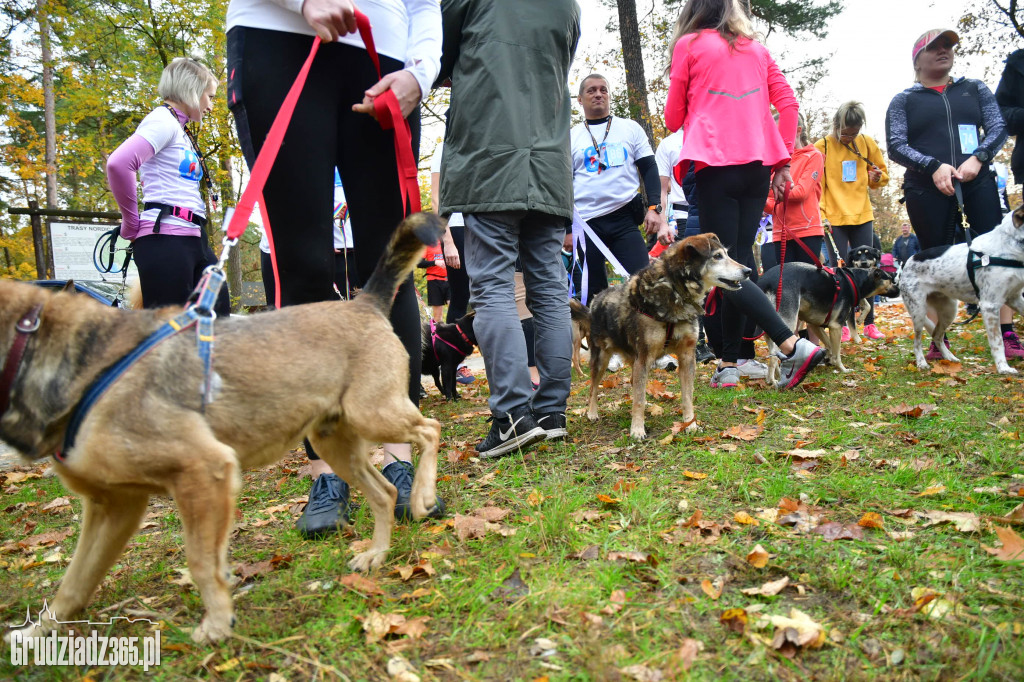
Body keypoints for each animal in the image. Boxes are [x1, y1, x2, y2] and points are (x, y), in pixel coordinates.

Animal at [2, 212, 446, 643]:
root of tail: (363, 303)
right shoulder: (112, 506)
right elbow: (75, 580)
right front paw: (39, 629)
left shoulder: (204, 472)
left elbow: (200, 561)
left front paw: (216, 623)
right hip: (332, 442)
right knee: (385, 493)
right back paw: (377, 553)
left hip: (373, 411)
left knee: (430, 429)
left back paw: (422, 494)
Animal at [589, 231, 749, 438]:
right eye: (717, 256)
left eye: (727, 254)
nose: (748, 271)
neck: (676, 290)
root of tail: (596, 298)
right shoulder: (644, 356)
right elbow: (637, 399)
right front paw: (637, 429)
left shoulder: (687, 356)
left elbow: (687, 395)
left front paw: (690, 424)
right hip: (602, 358)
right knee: (594, 387)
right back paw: (592, 412)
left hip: (635, 359)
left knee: (634, 383)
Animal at [901, 204, 1024, 374]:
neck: (1010, 243)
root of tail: (907, 262)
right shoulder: (990, 305)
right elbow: (997, 342)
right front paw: (1003, 367)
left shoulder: (1015, 298)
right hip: (919, 311)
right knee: (917, 341)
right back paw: (921, 363)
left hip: (949, 310)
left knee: (937, 335)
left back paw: (949, 357)